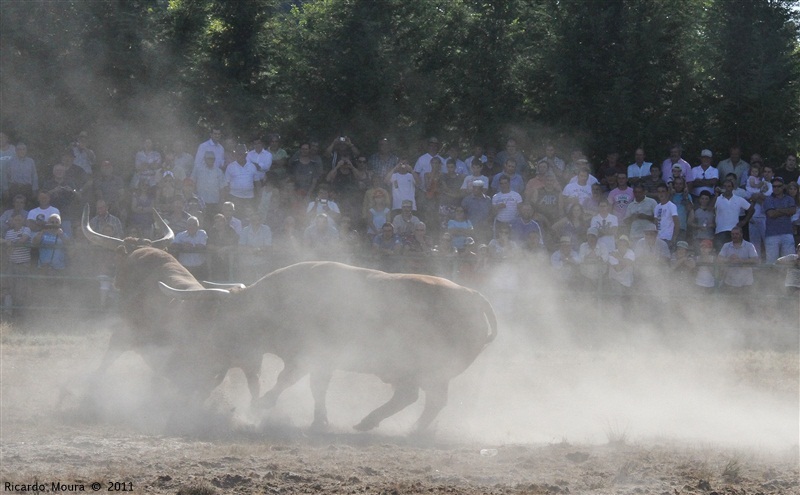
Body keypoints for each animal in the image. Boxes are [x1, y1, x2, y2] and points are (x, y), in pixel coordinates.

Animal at [157, 262, 496, 432]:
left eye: (221, 324)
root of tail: (473, 296)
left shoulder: (306, 357)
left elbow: (287, 381)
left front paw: (261, 404)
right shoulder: (321, 362)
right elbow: (316, 388)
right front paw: (320, 419)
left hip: (430, 370)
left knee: (426, 399)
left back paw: (401, 427)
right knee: (416, 397)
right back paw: (376, 423)